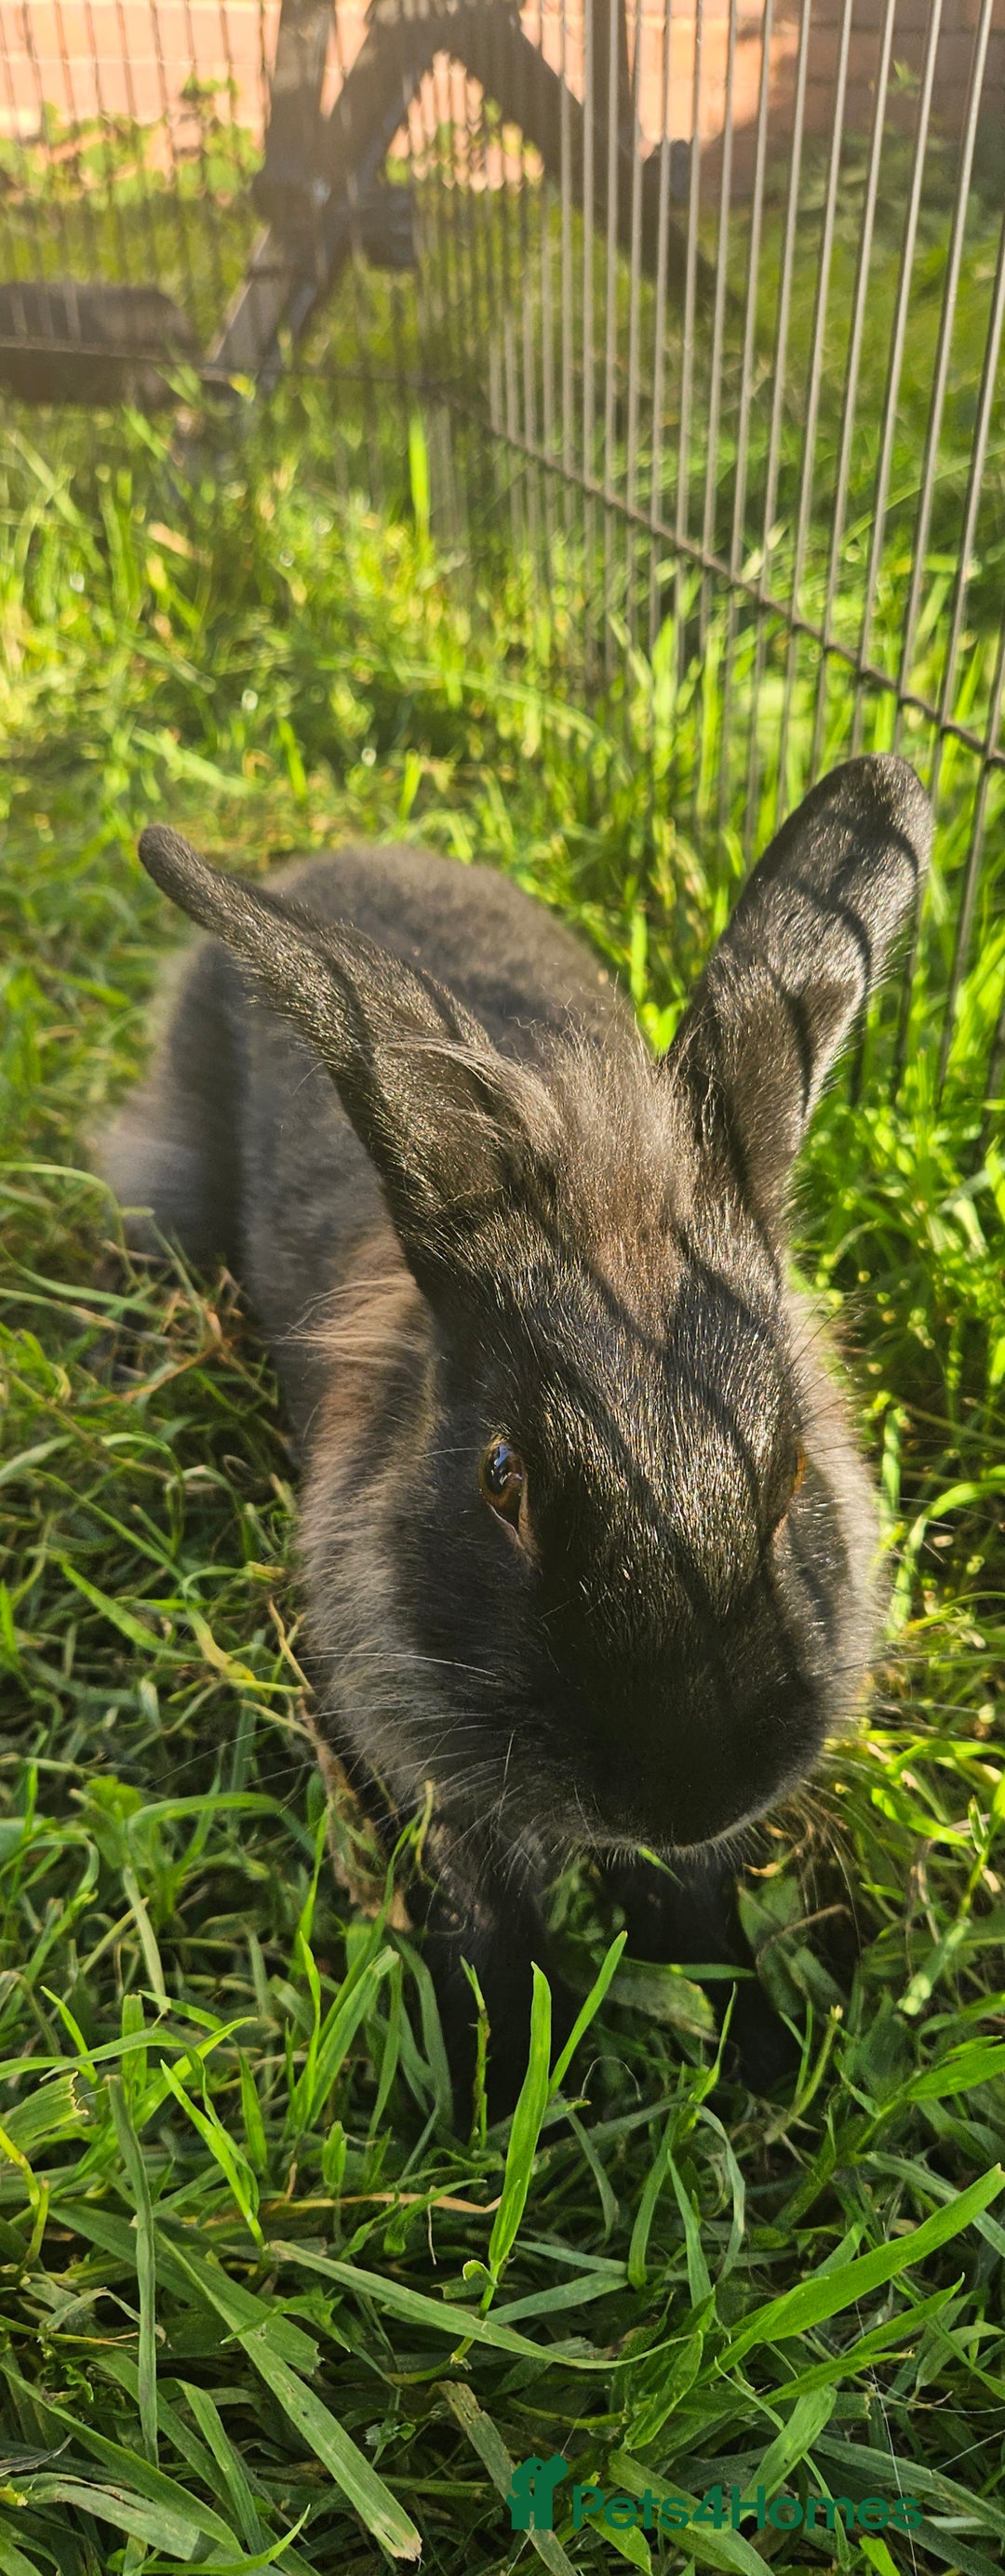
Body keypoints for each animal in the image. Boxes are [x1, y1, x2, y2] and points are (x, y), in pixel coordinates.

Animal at [97, 753, 932, 2120]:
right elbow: (489, 1928)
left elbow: (693, 1907)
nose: (686, 1789)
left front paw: (754, 2060)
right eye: (504, 1480)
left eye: (796, 1472)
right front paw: (491, 2103)